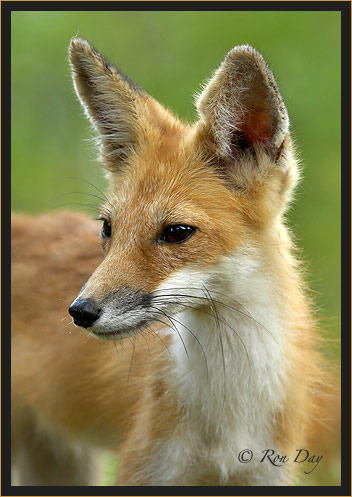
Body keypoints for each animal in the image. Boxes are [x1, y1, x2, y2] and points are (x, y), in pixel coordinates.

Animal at [11, 38, 336, 484]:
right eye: (107, 228)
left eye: (177, 232)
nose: (80, 312)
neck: (227, 422)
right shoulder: (144, 468)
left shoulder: (268, 473)